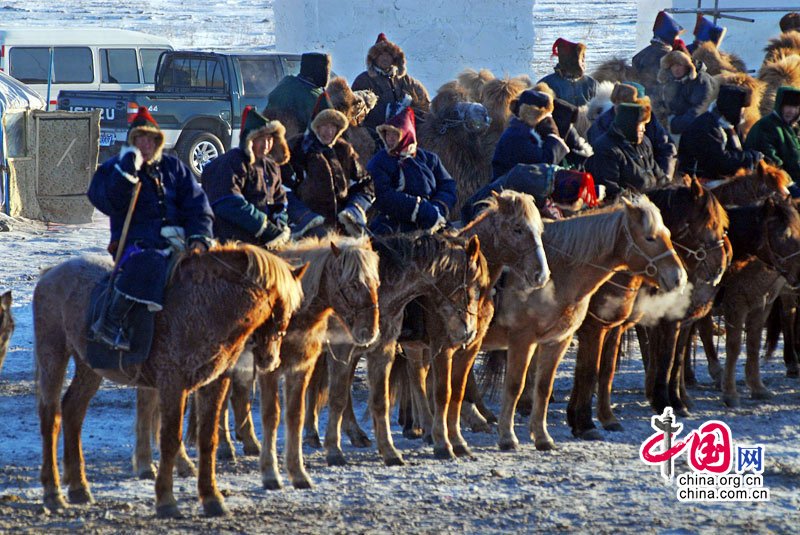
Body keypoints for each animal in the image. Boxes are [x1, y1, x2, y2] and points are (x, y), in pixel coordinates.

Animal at [33, 245, 304, 516]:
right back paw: (53, 492)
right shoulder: (173, 384)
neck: (205, 306)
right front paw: (166, 500)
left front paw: (212, 498)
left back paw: (79, 487)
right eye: (284, 308)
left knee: (73, 411)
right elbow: (170, 439)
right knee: (51, 418)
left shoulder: (213, 384)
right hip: (53, 355)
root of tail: (51, 273)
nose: (271, 359)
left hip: (90, 367)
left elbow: (208, 439)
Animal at [478, 195, 684, 450]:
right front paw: (508, 436)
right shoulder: (523, 339)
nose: (678, 277)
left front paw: (543, 437)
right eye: (649, 237)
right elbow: (517, 384)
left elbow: (545, 387)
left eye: (668, 233)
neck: (556, 274)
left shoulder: (560, 339)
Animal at [564, 180, 728, 440]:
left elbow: (608, 369)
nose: (720, 266)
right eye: (710, 223)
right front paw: (665, 401)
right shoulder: (599, 327)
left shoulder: (627, 326)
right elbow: (664, 360)